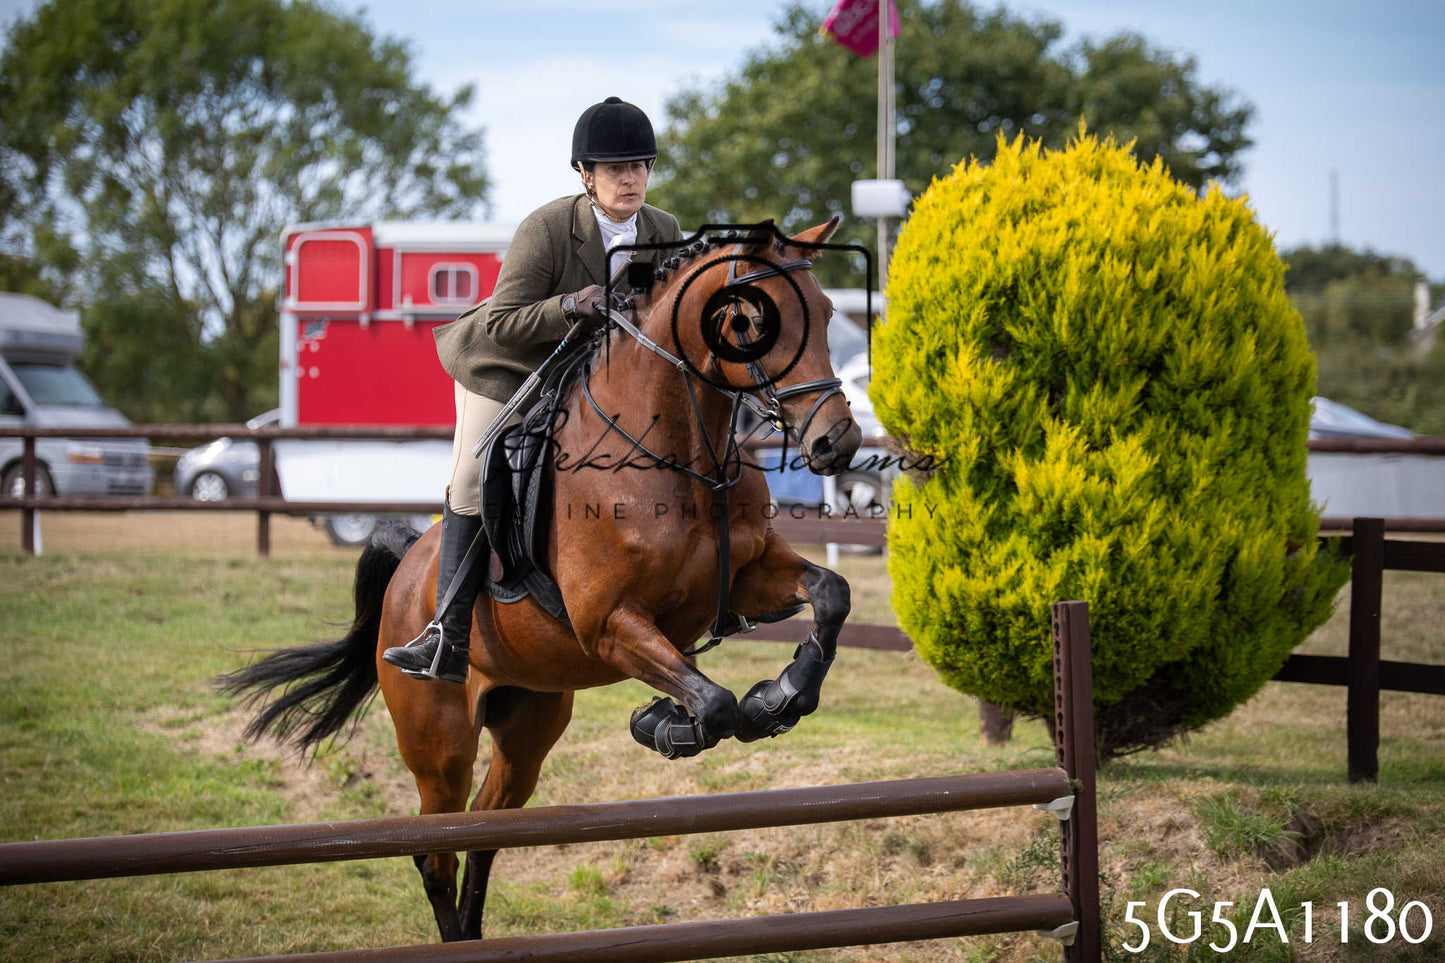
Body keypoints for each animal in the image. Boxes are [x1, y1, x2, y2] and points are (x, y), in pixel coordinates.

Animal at [219, 217, 862, 942]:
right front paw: (672, 723)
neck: (676, 450)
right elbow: (714, 699)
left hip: (528, 717)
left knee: (486, 829)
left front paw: (777, 697)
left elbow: (830, 595)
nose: (836, 443)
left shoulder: (742, 579)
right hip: (437, 741)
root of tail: (405, 572)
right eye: (753, 321)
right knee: (435, 848)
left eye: (827, 312)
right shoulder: (608, 623)